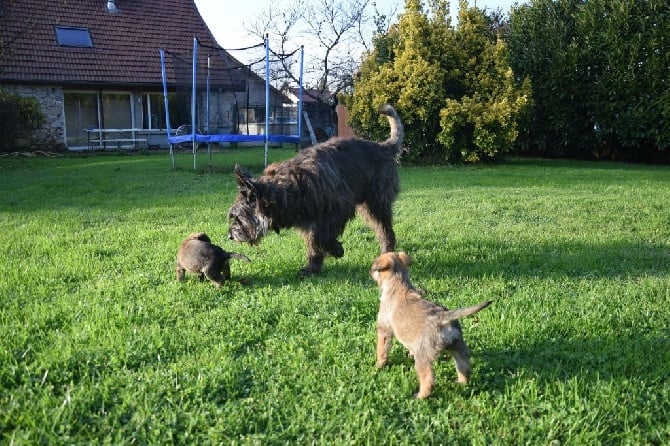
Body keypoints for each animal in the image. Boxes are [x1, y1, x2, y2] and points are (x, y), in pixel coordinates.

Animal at [227, 105, 404, 276]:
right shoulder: (308, 222)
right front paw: (313, 267)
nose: (229, 235)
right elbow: (314, 242)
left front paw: (335, 250)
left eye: (237, 217)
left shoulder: (339, 210)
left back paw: (387, 250)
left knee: (385, 229)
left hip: (376, 203)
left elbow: (321, 237)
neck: (287, 190)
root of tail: (382, 147)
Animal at [372, 251, 494, 400]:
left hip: (423, 356)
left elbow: (382, 350)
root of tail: (443, 318)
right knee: (464, 366)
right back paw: (461, 383)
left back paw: (420, 396)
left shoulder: (384, 331)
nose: (370, 271)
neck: (398, 285)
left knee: (428, 378)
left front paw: (378, 366)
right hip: (457, 346)